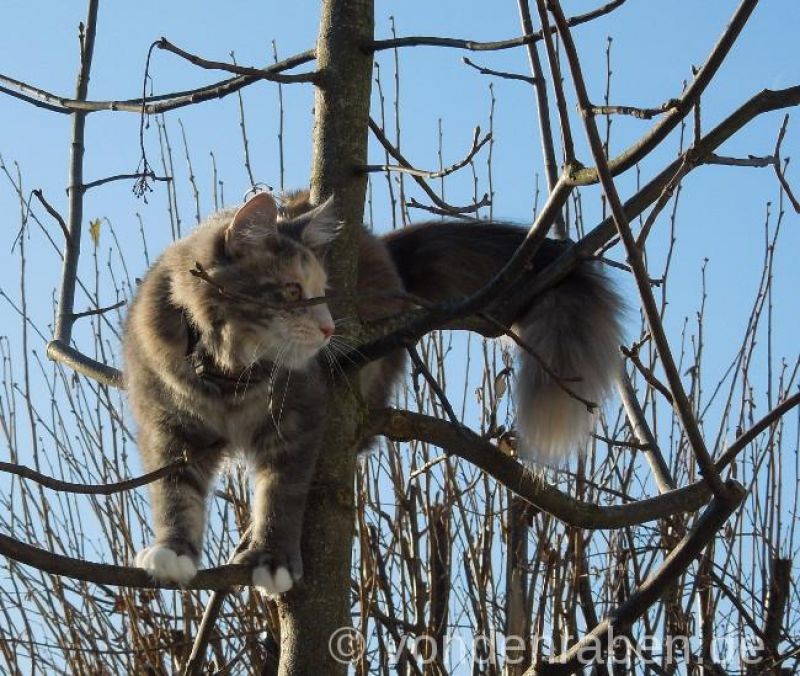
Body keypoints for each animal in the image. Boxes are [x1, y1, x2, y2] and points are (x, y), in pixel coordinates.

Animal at [125, 189, 624, 592]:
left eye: (324, 292)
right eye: (293, 291)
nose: (329, 328)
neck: (225, 375)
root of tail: (385, 248)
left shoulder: (298, 422)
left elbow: (280, 494)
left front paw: (271, 558)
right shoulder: (168, 428)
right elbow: (176, 495)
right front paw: (174, 552)